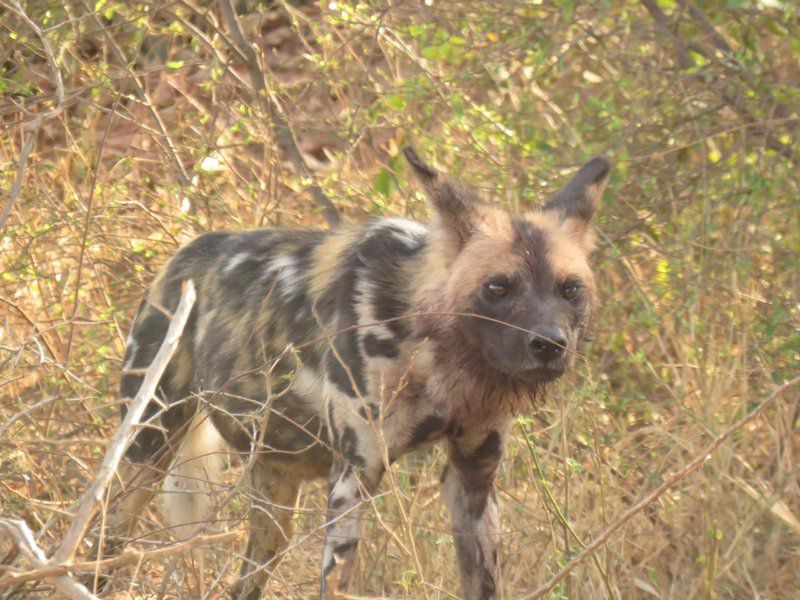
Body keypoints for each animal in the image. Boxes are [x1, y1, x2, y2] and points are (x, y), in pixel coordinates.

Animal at [104, 146, 608, 600]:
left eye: (570, 290)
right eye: (497, 288)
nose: (549, 345)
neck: (433, 355)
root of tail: (185, 253)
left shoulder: (474, 480)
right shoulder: (353, 480)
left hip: (274, 505)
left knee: (245, 582)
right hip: (143, 455)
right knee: (103, 544)